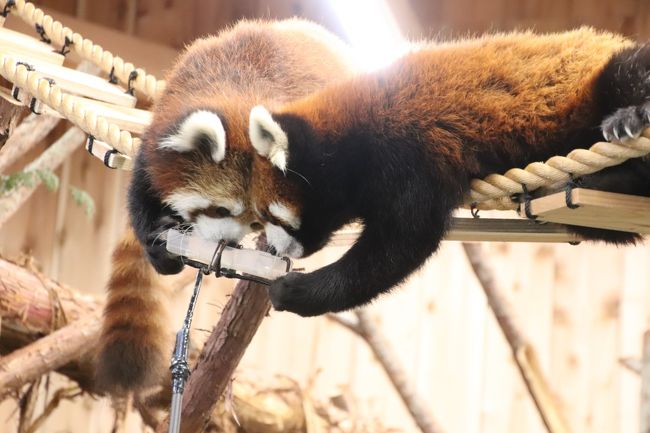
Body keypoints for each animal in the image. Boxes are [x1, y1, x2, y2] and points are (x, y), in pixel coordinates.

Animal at [244, 27, 648, 314]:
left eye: (272, 216)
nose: (274, 248)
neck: (352, 135)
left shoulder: (408, 152)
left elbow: (402, 242)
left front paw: (296, 291)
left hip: (605, 76)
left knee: (629, 70)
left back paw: (629, 118)